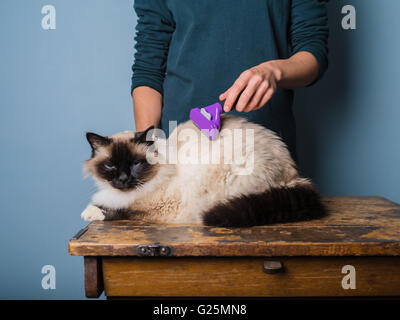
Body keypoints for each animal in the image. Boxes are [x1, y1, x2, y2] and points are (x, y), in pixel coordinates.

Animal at [80, 115, 324, 228]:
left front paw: (90, 213)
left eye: (135, 164)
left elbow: (122, 211)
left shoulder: (156, 208)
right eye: (111, 166)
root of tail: (293, 175)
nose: (123, 179)